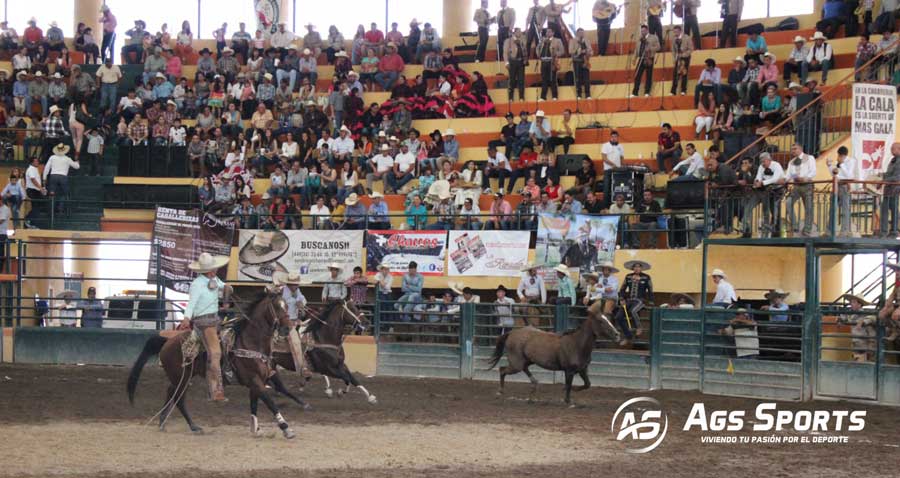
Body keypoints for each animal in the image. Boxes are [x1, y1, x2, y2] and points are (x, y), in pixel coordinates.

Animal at [127, 290, 298, 438]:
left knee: (171, 393)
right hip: (182, 377)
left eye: (286, 306)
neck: (251, 342)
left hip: (182, 377)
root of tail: (167, 341)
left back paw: (163, 421)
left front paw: (256, 429)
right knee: (178, 399)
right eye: (277, 306)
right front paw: (286, 428)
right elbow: (270, 403)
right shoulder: (254, 380)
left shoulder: (257, 381)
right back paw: (193, 426)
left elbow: (254, 404)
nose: (287, 328)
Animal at [488, 300, 624, 406]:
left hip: (526, 361)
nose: (617, 334)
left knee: (523, 370)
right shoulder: (569, 371)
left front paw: (573, 391)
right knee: (502, 369)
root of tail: (511, 333)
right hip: (516, 363)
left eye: (608, 319)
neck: (577, 344)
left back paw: (533, 389)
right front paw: (568, 400)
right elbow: (568, 386)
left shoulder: (582, 369)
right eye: (601, 321)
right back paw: (500, 391)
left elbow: (587, 384)